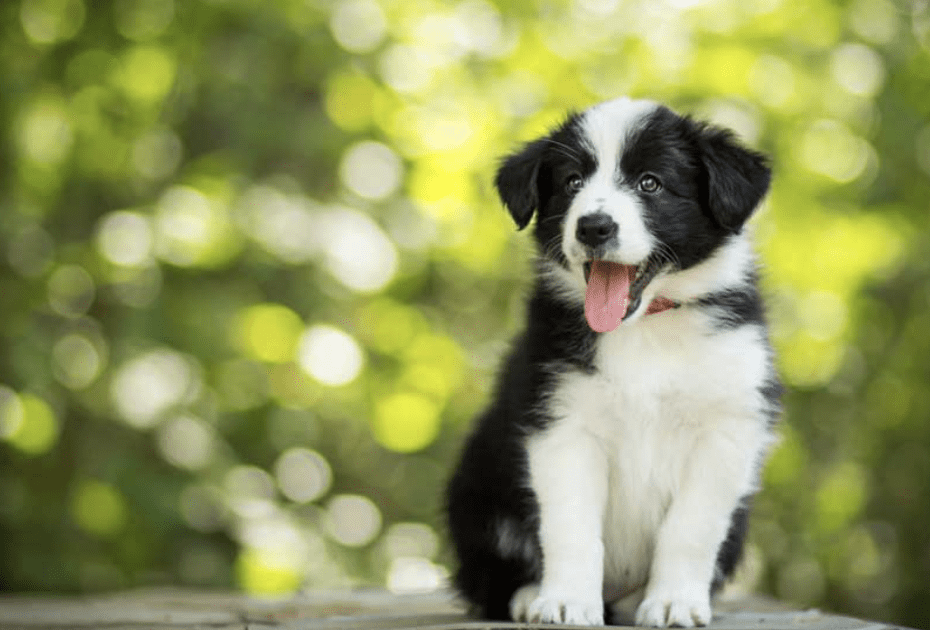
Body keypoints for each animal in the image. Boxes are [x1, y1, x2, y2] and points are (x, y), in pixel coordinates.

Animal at [446, 96, 780, 628]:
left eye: (650, 183)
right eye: (571, 183)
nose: (593, 226)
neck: (644, 331)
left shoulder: (725, 428)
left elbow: (691, 528)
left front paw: (673, 602)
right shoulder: (562, 422)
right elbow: (571, 525)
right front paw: (566, 601)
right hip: (476, 487)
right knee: (490, 576)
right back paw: (529, 595)